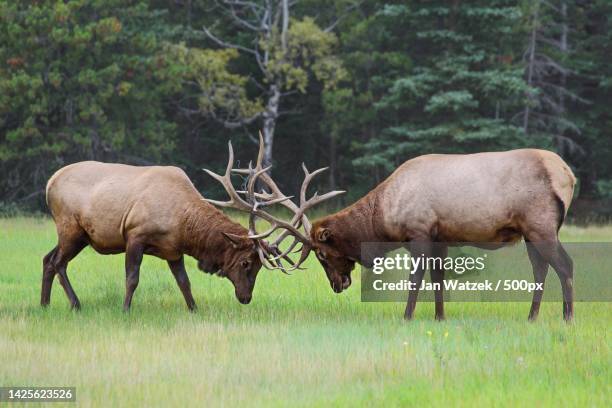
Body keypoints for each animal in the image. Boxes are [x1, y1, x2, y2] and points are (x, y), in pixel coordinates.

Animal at [42, 142, 296, 310]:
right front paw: (125, 310)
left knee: (47, 259)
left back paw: (44, 304)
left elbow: (185, 283)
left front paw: (194, 310)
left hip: (80, 236)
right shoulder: (135, 234)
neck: (183, 226)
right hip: (70, 228)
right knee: (58, 262)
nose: (246, 297)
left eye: (260, 266)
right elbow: (132, 278)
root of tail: (49, 182)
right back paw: (75, 304)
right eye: (245, 262)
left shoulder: (173, 250)